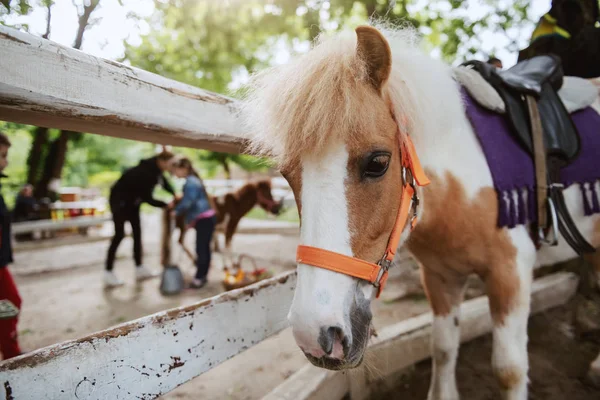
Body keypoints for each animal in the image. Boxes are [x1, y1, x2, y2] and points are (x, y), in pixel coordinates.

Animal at [240, 25, 600, 400]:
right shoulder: (440, 277)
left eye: (378, 162)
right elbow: (442, 348)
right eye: (286, 174)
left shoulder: (511, 272)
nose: (314, 333)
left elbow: (509, 370)